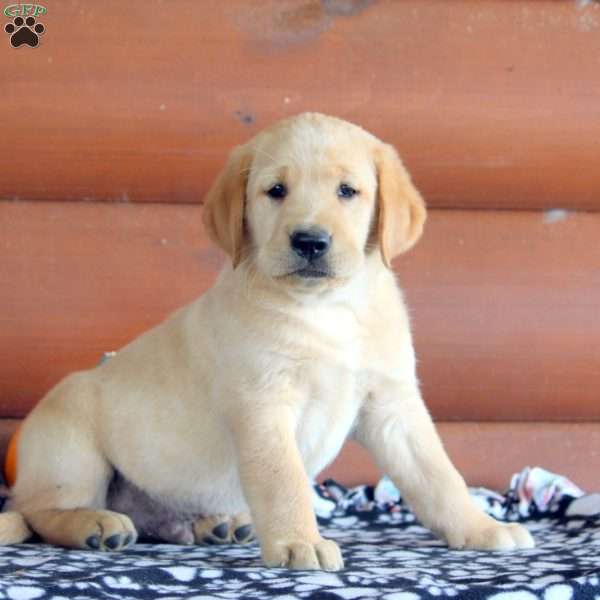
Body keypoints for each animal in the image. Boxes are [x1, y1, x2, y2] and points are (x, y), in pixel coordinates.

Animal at [0, 111, 536, 568]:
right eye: (275, 190)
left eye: (348, 191)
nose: (310, 241)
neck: (327, 310)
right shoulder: (263, 405)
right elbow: (285, 482)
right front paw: (300, 542)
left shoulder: (392, 406)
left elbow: (439, 475)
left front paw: (481, 527)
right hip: (71, 448)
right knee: (38, 513)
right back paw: (95, 524)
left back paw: (214, 524)